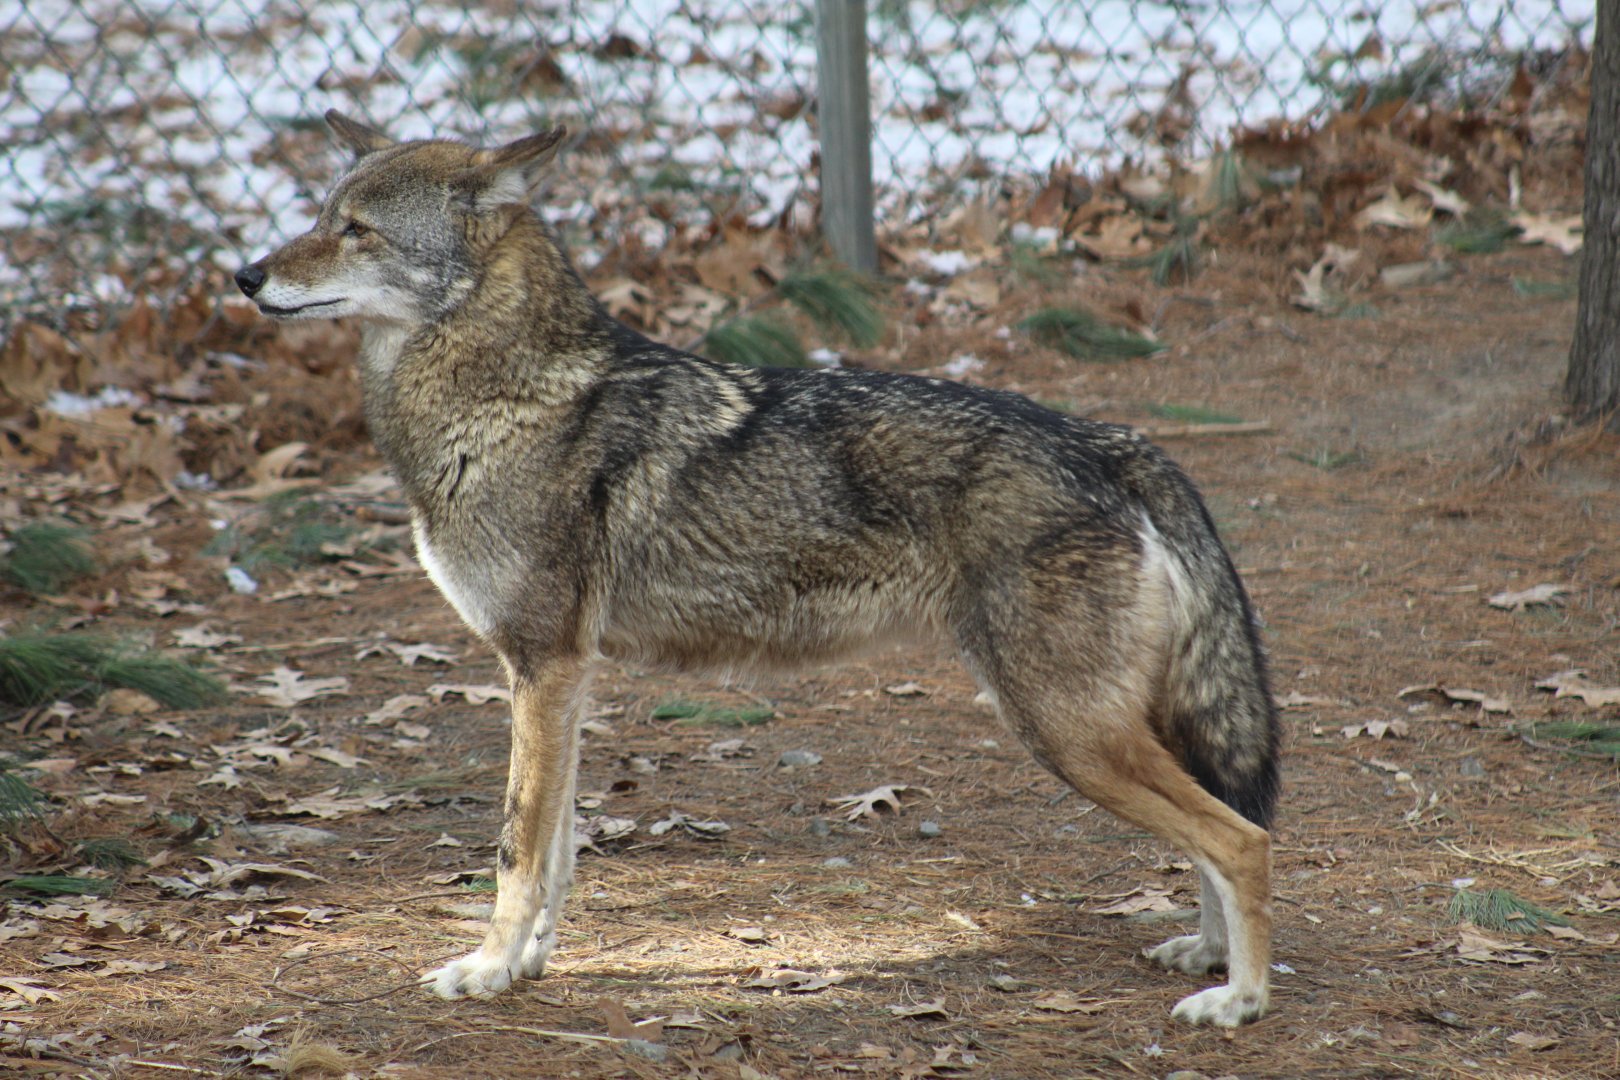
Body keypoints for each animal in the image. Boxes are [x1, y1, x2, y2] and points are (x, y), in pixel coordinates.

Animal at [235, 112, 1281, 1027]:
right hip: (1111, 727)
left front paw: (487, 971)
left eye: (354, 230)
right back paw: (1207, 955)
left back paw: (1239, 999)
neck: (504, 396)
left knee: (1245, 838)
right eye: (319, 215)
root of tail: (1113, 443)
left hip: (1067, 734)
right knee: (1220, 829)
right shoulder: (561, 678)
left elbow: (514, 849)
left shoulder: (542, 668)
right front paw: (529, 964)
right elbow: (559, 849)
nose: (244, 275)